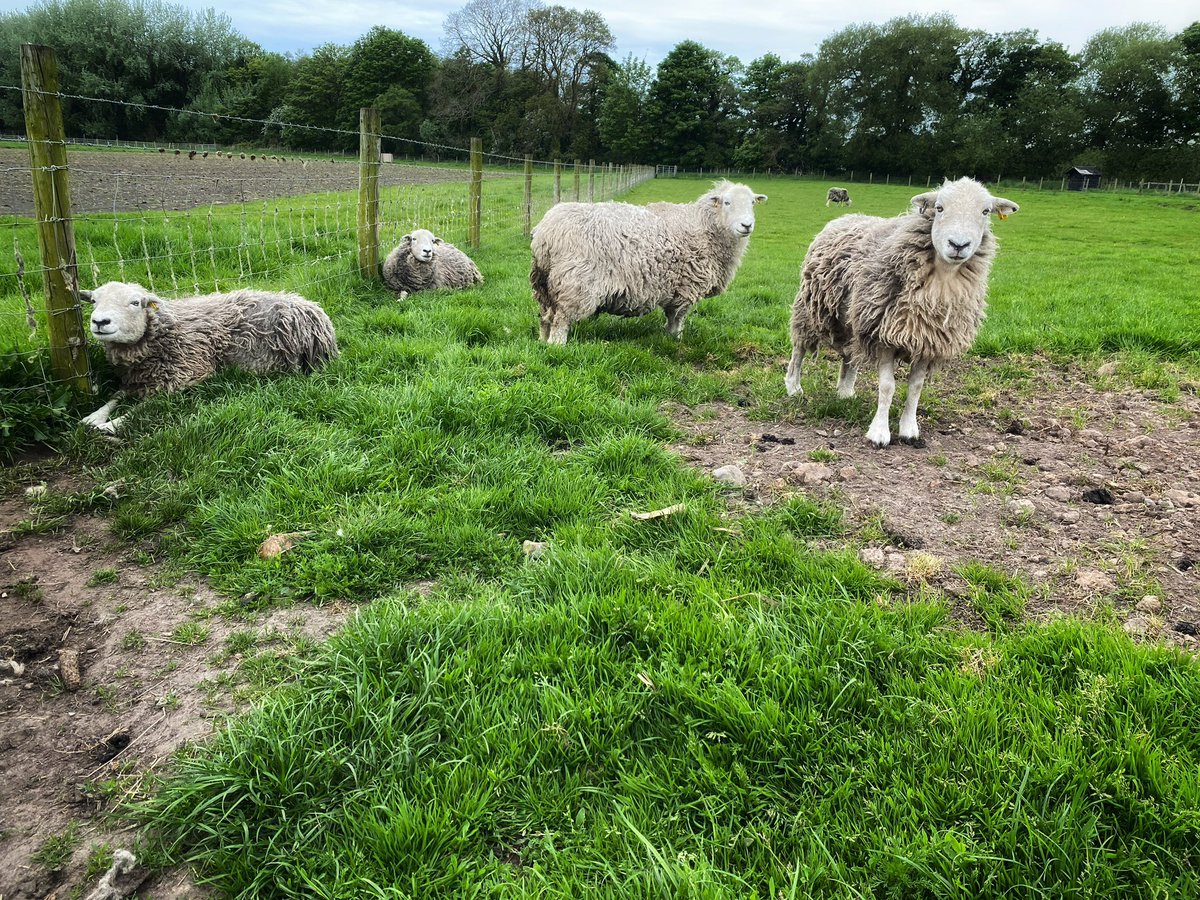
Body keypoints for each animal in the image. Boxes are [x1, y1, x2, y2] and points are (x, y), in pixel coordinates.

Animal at [80, 281, 338, 433]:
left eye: (135, 302)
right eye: (93, 301)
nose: (100, 322)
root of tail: (311, 306)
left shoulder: (184, 376)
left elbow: (143, 407)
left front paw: (111, 424)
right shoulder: (135, 379)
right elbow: (115, 397)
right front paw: (93, 417)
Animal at [530, 180, 767, 344]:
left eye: (752, 203)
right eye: (727, 202)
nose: (747, 225)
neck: (705, 227)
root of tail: (545, 233)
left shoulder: (675, 288)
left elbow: (671, 316)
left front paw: (669, 337)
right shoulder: (687, 287)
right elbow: (677, 319)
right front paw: (676, 339)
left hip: (545, 284)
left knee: (545, 316)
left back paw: (542, 341)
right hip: (575, 283)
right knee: (561, 320)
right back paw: (557, 346)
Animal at [785, 176, 1019, 448]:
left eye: (985, 211)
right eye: (939, 208)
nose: (958, 245)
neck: (942, 281)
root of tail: (845, 217)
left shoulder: (928, 339)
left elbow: (915, 387)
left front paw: (909, 430)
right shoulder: (883, 333)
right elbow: (887, 387)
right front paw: (879, 433)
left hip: (855, 316)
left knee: (850, 354)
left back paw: (845, 391)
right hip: (812, 309)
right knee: (800, 348)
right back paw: (793, 386)